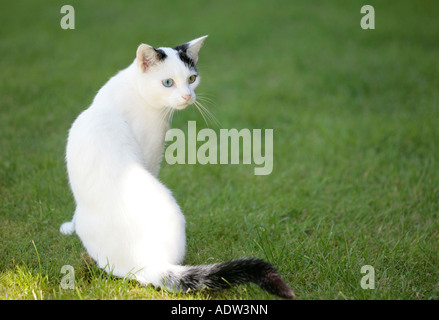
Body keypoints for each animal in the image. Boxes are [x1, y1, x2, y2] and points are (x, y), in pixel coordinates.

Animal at [59, 36, 296, 298]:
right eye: (167, 82)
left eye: (191, 79)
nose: (187, 96)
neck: (132, 90)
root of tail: (150, 264)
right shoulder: (151, 155)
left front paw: (68, 227)